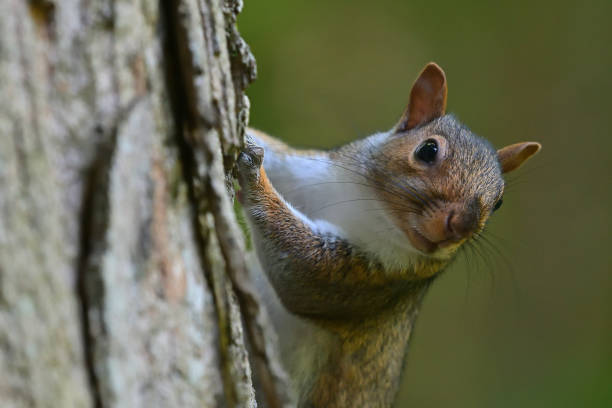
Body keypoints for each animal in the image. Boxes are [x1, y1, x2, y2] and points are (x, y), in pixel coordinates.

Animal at [237, 62, 544, 406]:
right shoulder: (304, 170)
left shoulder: (375, 277)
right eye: (428, 149)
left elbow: (301, 271)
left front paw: (254, 180)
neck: (370, 207)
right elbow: (276, 152)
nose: (461, 224)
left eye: (499, 201)